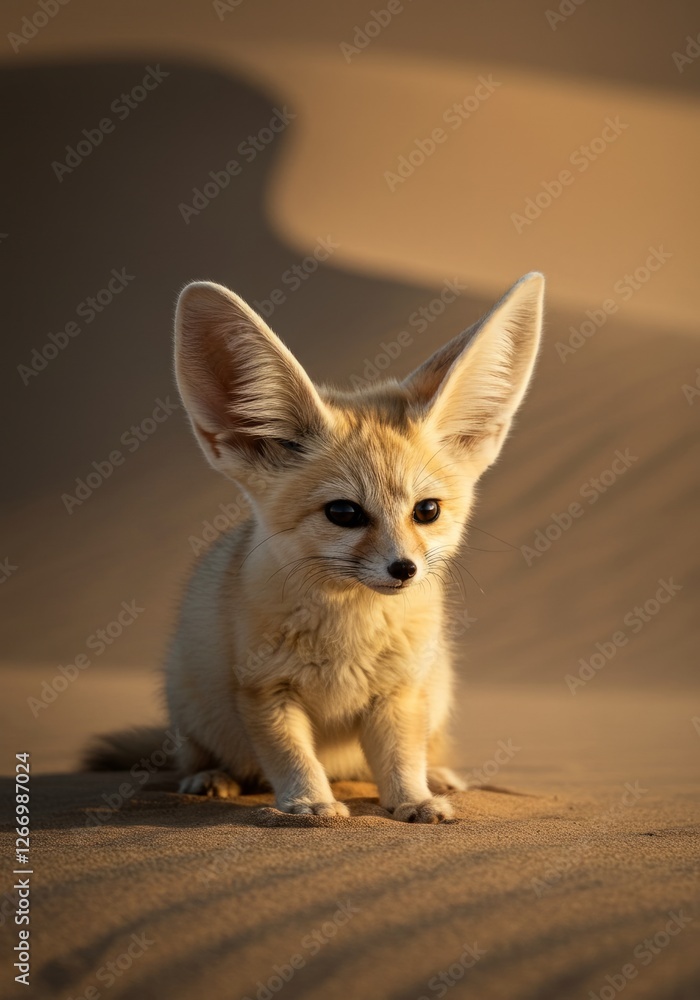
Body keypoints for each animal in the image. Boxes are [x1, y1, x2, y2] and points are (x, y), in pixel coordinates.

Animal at [84, 272, 544, 823]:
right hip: (190, 699)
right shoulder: (264, 691)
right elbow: (292, 755)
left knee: (415, 752)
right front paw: (308, 803)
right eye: (343, 513)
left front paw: (412, 800)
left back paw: (436, 776)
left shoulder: (399, 691)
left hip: (436, 687)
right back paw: (211, 777)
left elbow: (400, 757)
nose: (404, 569)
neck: (349, 632)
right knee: (194, 755)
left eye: (427, 511)